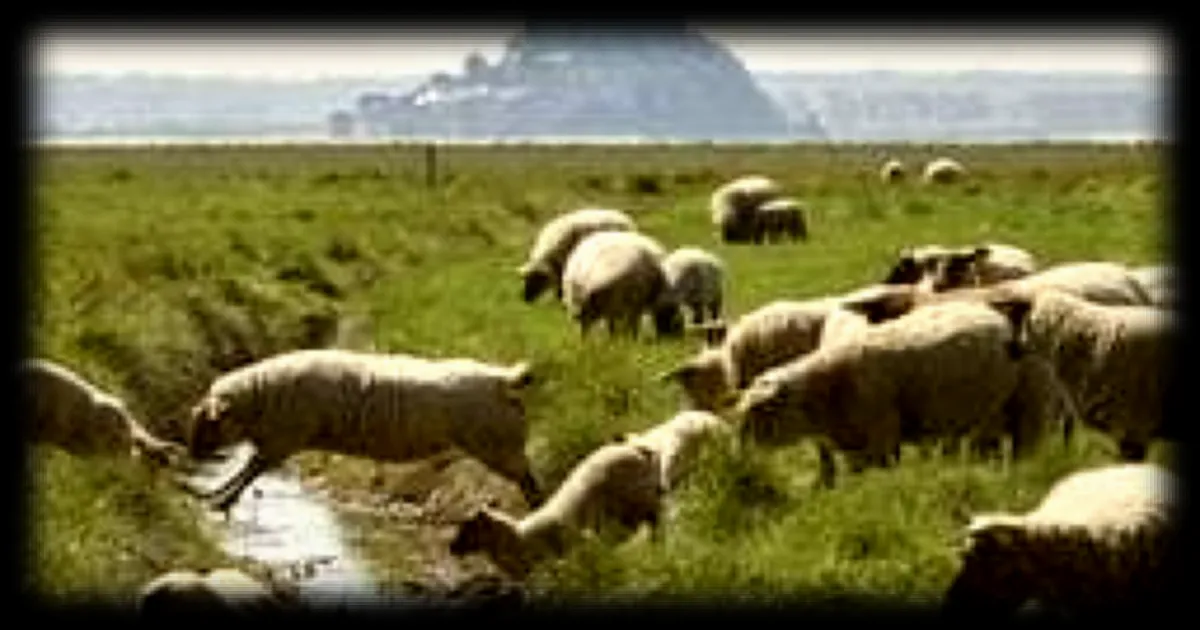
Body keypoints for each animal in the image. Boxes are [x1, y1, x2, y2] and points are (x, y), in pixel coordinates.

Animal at [183, 348, 542, 512]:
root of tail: (501, 379)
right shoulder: (276, 443)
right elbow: (248, 470)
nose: (192, 456)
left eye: (208, 423)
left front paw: (219, 500)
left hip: (498, 446)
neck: (261, 398)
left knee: (530, 483)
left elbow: (249, 472)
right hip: (502, 445)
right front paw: (212, 494)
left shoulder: (282, 441)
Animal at [448, 441, 663, 580]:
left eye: (468, 526)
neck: (519, 538)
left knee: (656, 520)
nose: (452, 548)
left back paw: (658, 547)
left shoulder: (558, 563)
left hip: (641, 498)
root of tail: (637, 449)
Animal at [735, 301, 1029, 488]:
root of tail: (993, 315)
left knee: (989, 443)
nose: (740, 452)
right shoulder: (855, 443)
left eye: (760, 409)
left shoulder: (882, 437)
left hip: (993, 408)